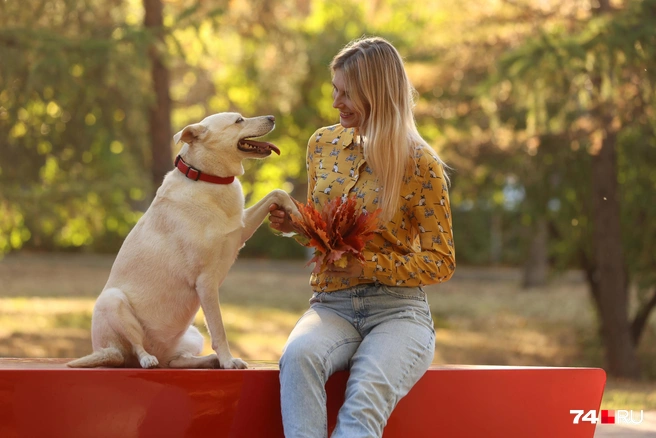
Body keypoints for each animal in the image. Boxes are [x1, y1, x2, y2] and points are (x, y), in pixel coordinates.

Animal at [68, 113, 298, 370]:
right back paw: (149, 359)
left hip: (192, 336)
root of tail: (104, 350)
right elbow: (219, 329)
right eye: (239, 120)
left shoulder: (241, 231)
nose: (272, 117)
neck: (208, 178)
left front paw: (295, 214)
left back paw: (208, 360)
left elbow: (277, 192)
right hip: (112, 301)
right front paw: (228, 361)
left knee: (175, 361)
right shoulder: (206, 282)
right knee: (134, 349)